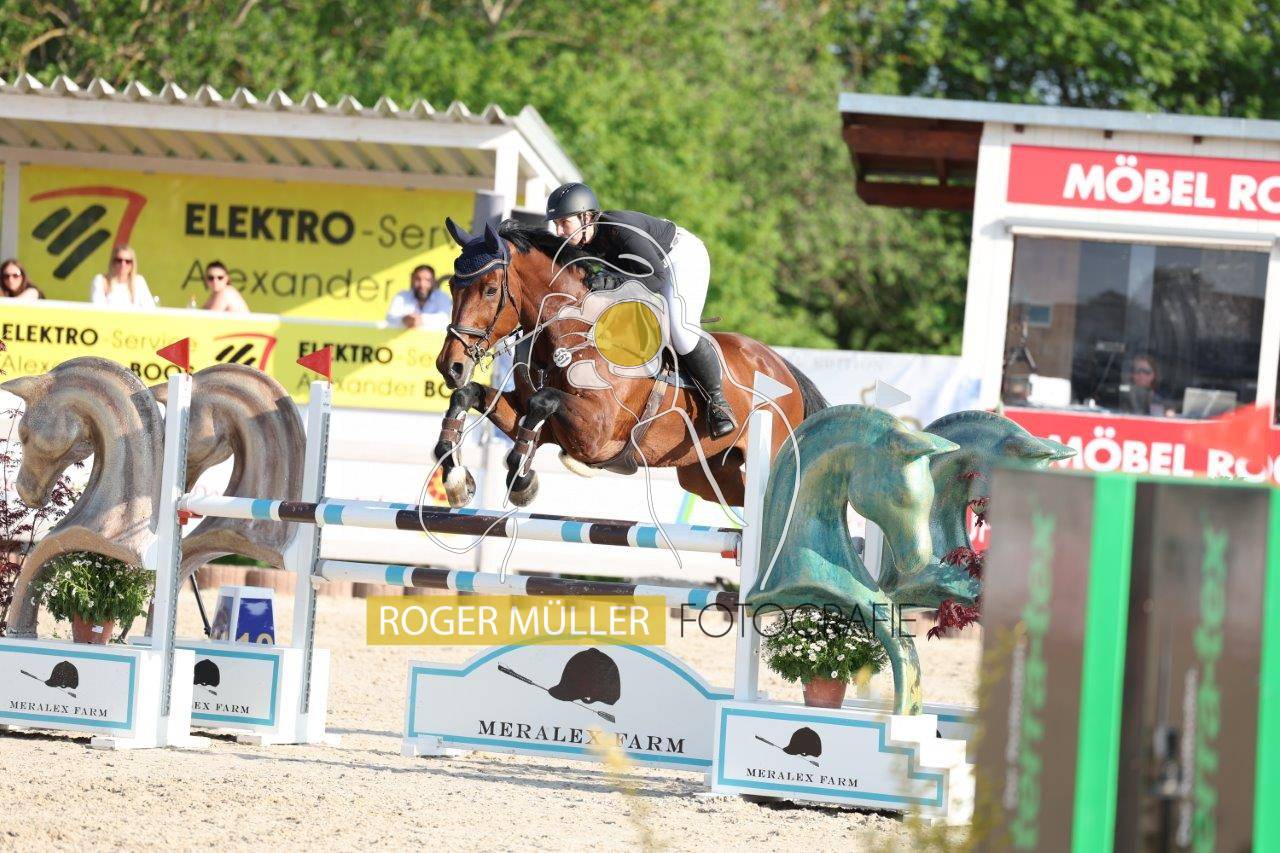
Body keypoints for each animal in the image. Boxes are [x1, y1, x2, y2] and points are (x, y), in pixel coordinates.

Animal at [432, 220, 828, 510]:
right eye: (452, 286)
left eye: (489, 289)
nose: (450, 366)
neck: (571, 329)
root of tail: (781, 366)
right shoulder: (543, 425)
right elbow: (471, 397)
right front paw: (455, 477)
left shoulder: (597, 431)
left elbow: (543, 400)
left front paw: (522, 482)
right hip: (708, 475)